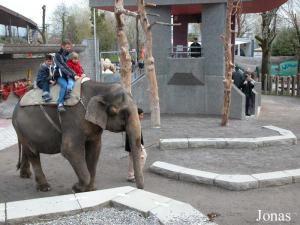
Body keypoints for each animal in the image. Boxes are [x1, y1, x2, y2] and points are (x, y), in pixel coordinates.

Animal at [11, 81, 143, 192]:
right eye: (117, 112)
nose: (139, 187)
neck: (101, 87)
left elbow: (95, 149)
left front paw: (91, 189)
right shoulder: (72, 120)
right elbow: (69, 149)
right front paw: (77, 188)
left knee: (28, 150)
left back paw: (25, 175)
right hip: (22, 127)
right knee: (33, 153)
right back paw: (45, 187)